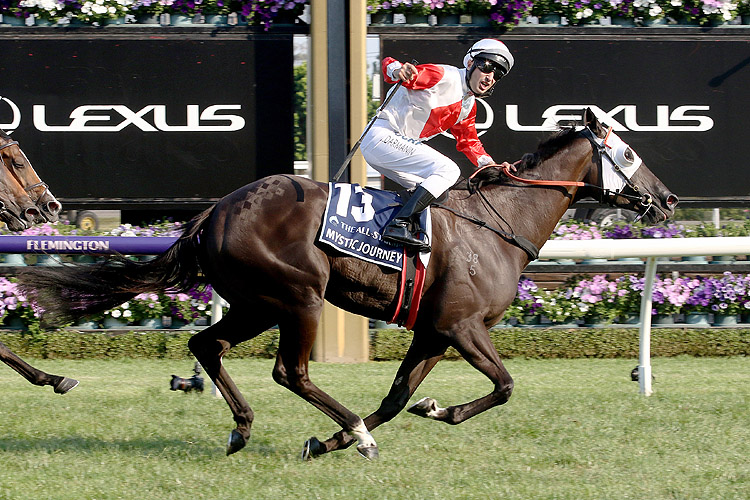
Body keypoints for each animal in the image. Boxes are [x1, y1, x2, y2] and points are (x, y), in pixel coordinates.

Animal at [19, 110, 680, 460]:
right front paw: (411, 418)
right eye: (625, 151)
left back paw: (243, 427)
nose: (668, 198)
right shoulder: (462, 326)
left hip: (258, 302)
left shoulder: (433, 332)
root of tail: (216, 212)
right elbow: (505, 386)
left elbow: (397, 398)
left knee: (207, 345)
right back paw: (348, 432)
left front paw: (338, 438)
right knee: (290, 371)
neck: (497, 226)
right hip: (298, 296)